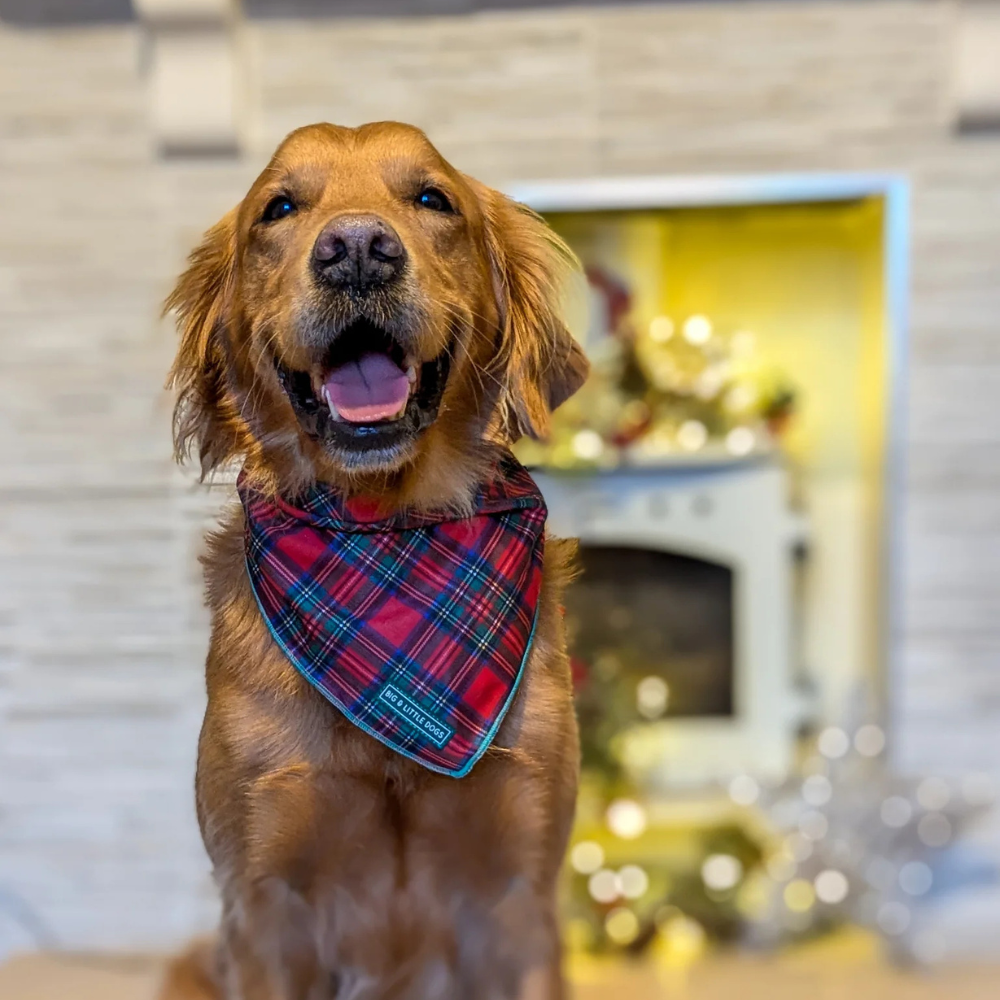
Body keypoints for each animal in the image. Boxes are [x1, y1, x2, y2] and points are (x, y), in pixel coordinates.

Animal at [158, 125, 584, 1000]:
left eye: (432, 198)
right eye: (279, 208)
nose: (356, 250)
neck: (385, 531)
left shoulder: (519, 893)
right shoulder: (266, 901)